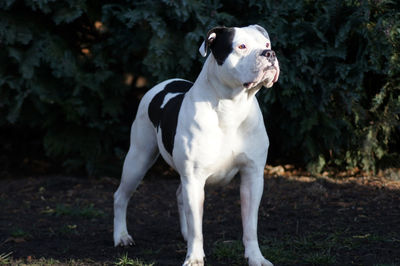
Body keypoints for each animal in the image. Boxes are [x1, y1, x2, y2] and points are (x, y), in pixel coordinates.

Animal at [114, 25, 280, 266]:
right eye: (241, 46)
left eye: (267, 44)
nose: (270, 54)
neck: (232, 106)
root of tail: (165, 83)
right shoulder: (194, 179)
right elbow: (197, 229)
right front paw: (194, 258)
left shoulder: (253, 177)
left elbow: (250, 225)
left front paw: (256, 257)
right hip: (138, 158)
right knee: (121, 196)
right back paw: (121, 236)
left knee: (179, 196)